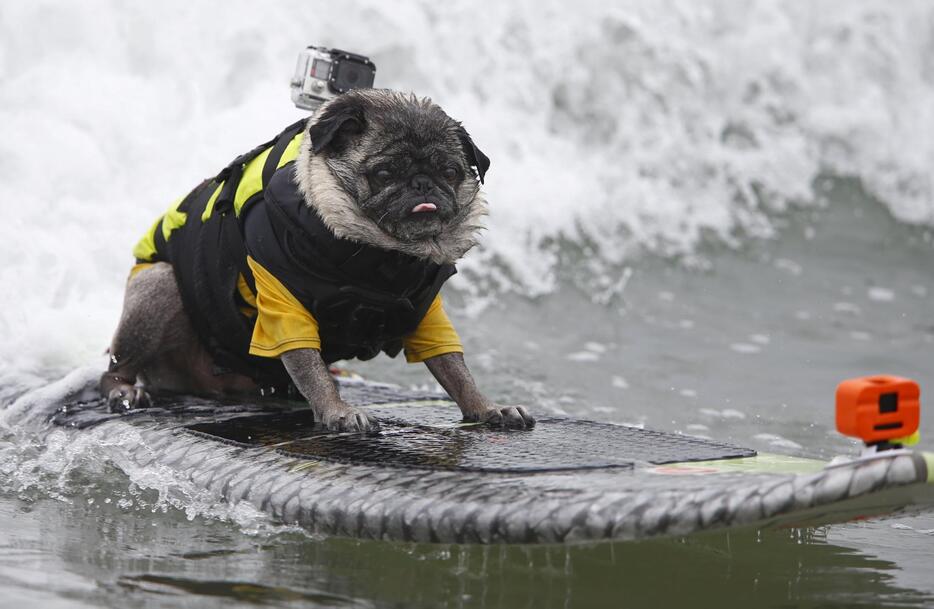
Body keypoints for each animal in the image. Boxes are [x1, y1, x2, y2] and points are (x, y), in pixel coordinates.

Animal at [101, 89, 532, 432]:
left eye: (450, 172)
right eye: (384, 172)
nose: (423, 184)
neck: (381, 257)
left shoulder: (426, 312)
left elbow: (453, 367)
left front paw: (485, 407)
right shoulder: (282, 301)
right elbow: (308, 364)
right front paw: (337, 411)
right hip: (159, 286)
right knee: (115, 367)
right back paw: (125, 390)